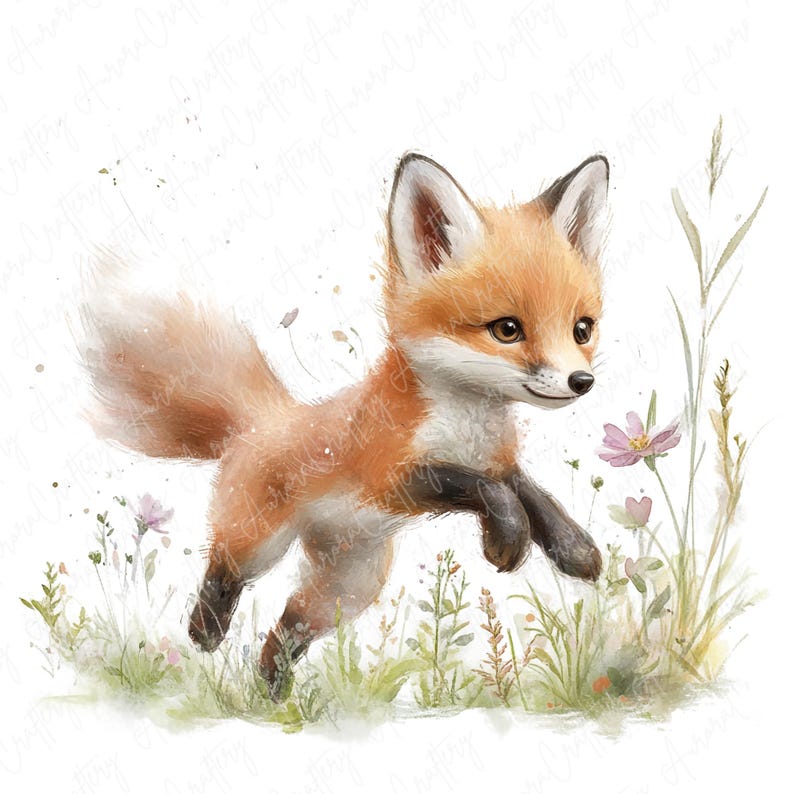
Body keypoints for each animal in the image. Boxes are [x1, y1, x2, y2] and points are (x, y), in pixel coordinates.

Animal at [81, 152, 608, 700]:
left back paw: (274, 696)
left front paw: (574, 548)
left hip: (349, 588)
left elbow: (531, 493)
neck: (467, 426)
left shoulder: (497, 459)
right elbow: (483, 488)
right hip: (260, 541)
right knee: (224, 569)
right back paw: (206, 633)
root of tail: (264, 420)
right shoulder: (390, 474)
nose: (581, 381)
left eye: (582, 329)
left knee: (287, 629)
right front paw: (507, 537)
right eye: (507, 329)